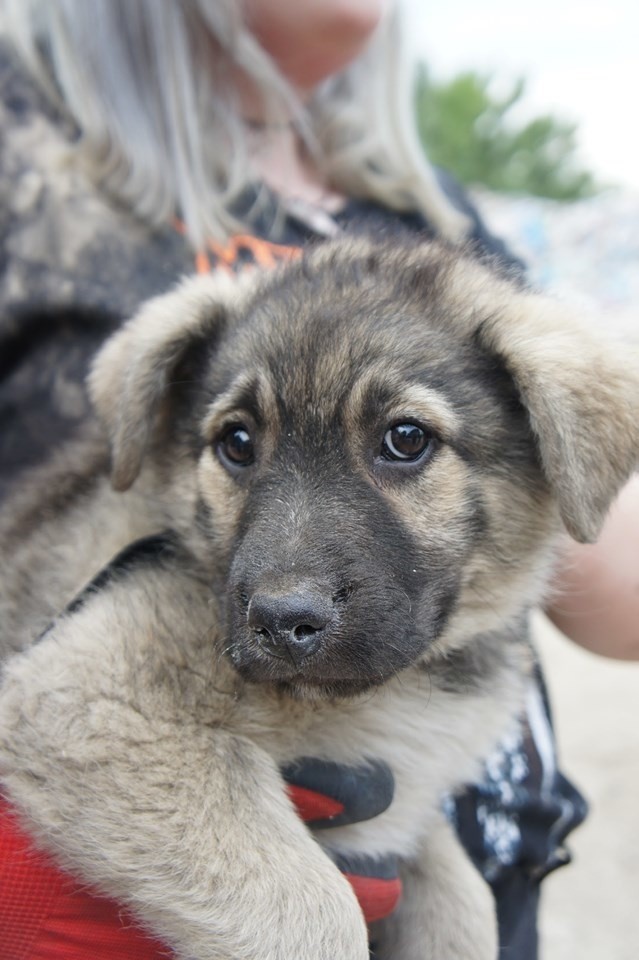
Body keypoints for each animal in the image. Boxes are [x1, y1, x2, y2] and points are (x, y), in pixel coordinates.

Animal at [1, 234, 639, 960]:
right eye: (237, 442)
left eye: (406, 438)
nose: (283, 622)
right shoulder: (87, 696)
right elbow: (314, 911)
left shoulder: (402, 806)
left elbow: (463, 902)